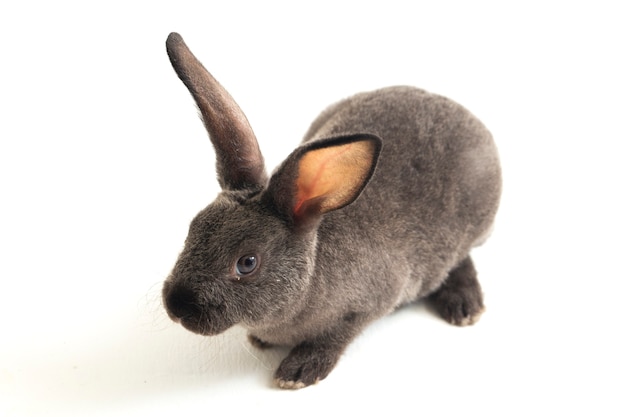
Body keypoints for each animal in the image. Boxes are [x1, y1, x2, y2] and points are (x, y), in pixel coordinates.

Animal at [162, 31, 502, 386]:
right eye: (193, 229)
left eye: (247, 263)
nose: (177, 306)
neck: (309, 277)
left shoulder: (367, 304)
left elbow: (334, 336)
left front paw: (299, 371)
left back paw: (465, 307)